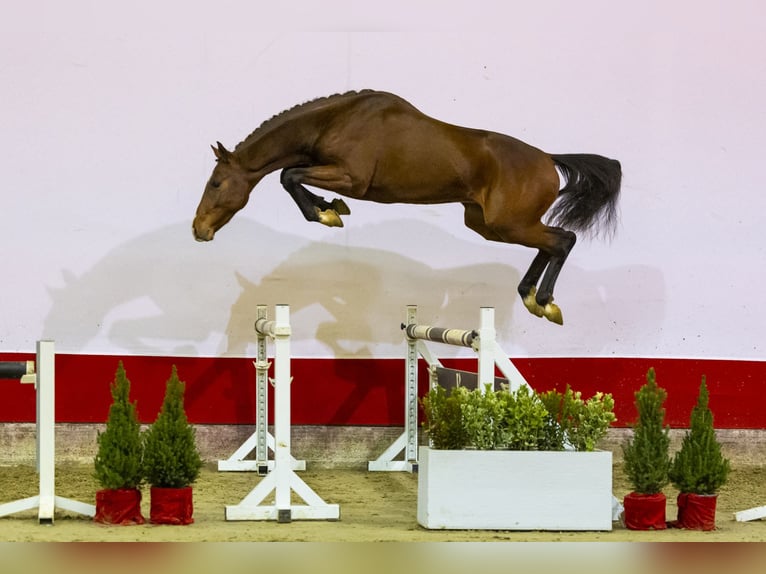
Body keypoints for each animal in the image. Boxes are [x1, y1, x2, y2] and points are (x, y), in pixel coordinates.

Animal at [194, 89, 624, 324]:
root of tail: (548, 159)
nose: (199, 229)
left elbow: (289, 176)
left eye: (216, 183)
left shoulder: (351, 178)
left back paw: (545, 302)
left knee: (562, 240)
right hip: (489, 225)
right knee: (548, 243)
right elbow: (291, 174)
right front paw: (331, 208)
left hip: (509, 224)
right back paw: (529, 295)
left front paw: (326, 212)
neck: (335, 121)